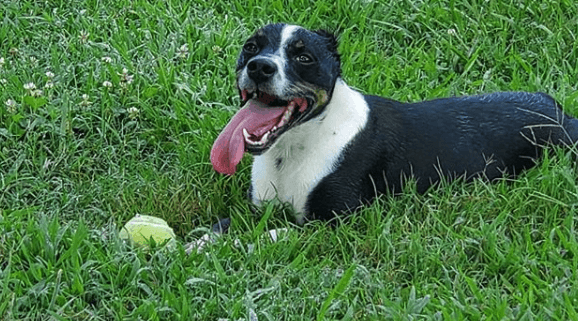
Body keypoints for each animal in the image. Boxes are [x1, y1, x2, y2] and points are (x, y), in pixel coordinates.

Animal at [209, 23, 576, 222]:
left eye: (303, 57)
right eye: (250, 47)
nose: (259, 66)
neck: (295, 146)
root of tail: (561, 113)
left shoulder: (329, 220)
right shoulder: (258, 208)